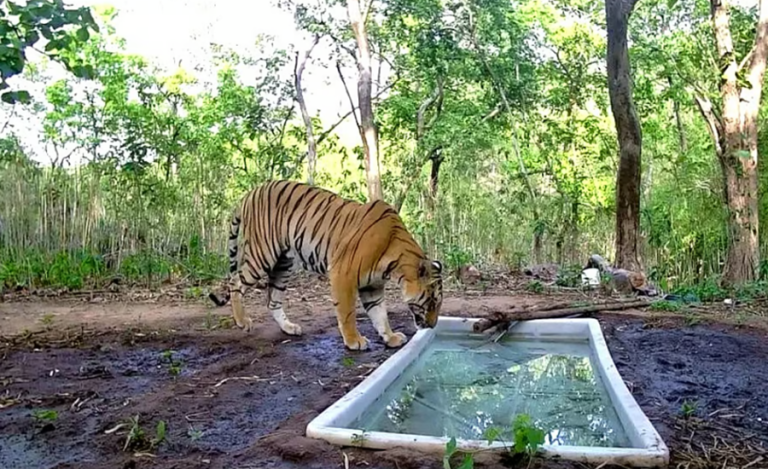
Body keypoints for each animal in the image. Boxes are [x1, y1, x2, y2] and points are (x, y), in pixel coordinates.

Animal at [209, 180, 443, 351]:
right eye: (431, 301)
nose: (433, 326)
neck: (394, 266)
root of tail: (250, 193)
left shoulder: (372, 286)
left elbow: (380, 314)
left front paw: (391, 337)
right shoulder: (343, 274)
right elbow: (347, 313)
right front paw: (354, 341)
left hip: (283, 264)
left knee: (272, 299)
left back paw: (289, 328)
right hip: (262, 255)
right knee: (235, 281)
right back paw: (242, 321)